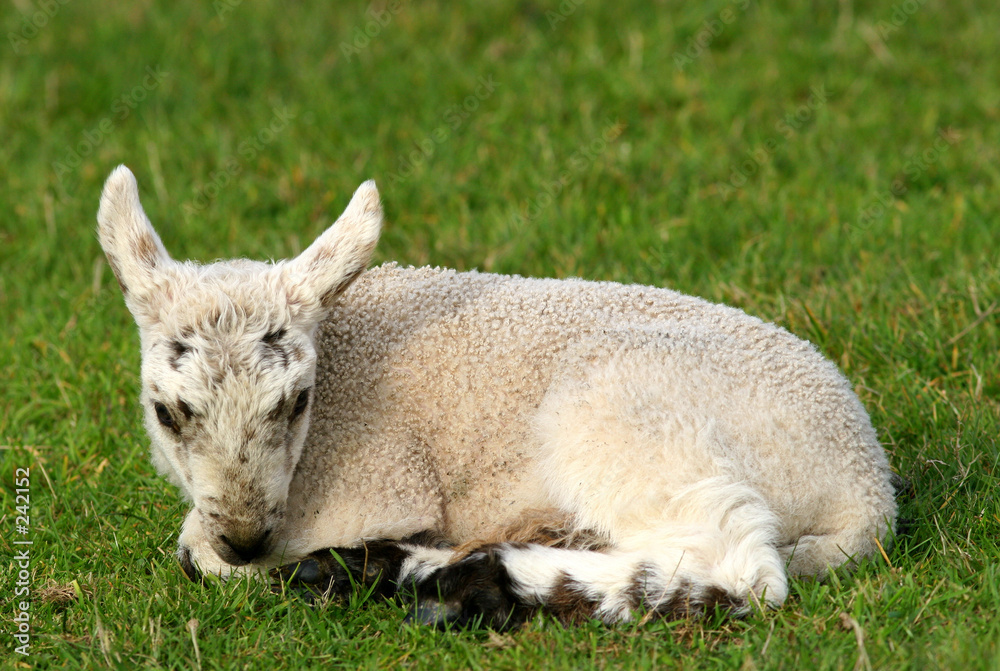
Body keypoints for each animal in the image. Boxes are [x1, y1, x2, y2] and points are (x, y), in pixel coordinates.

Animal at [97, 165, 897, 629]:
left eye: (295, 403)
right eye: (168, 412)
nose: (247, 536)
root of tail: (868, 492)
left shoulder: (372, 479)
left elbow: (196, 554)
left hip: (620, 409)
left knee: (743, 570)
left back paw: (454, 577)